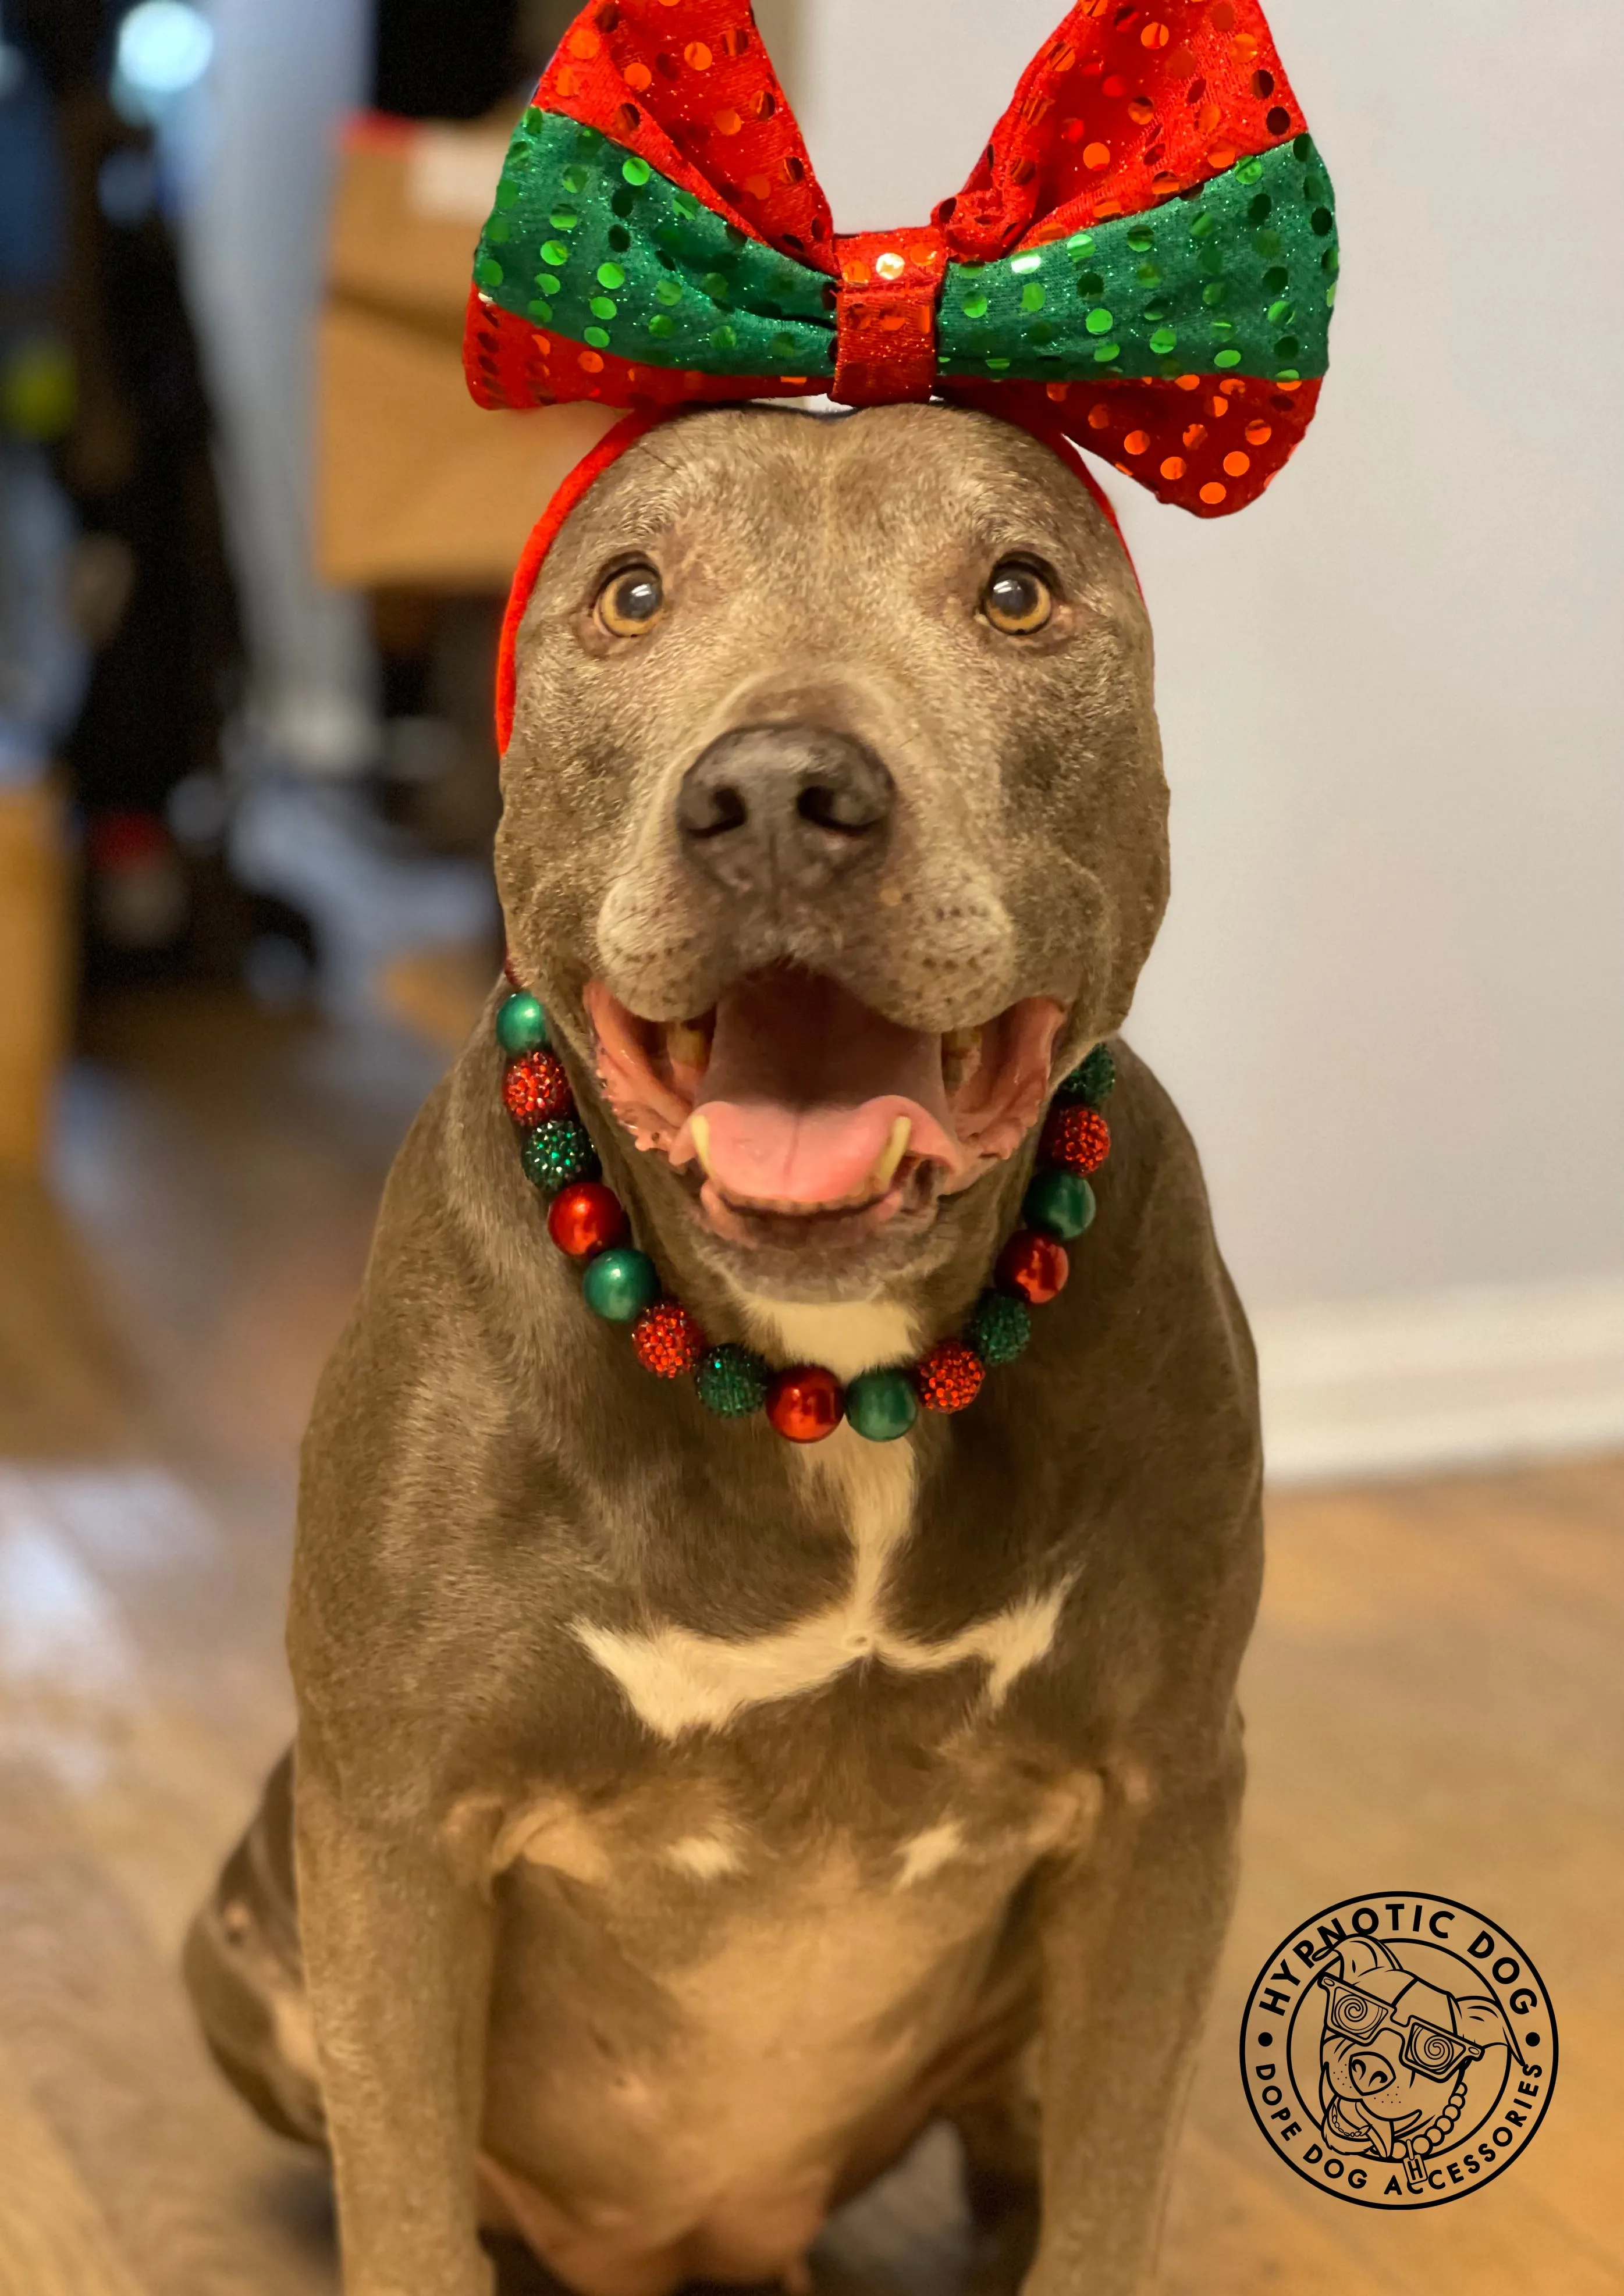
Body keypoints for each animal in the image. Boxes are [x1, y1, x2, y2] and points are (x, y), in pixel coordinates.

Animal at [183, 404, 1268, 2296]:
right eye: (629, 594)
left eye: (1015, 591)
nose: (775, 796)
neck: (832, 1386)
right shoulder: (392, 1822)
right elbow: (404, 2208)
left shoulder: (1166, 1798)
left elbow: (1107, 2202)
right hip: (242, 1932)